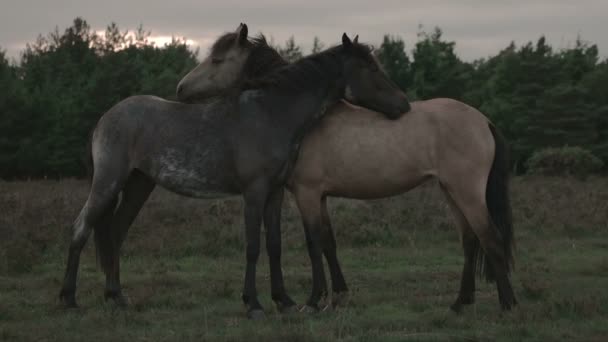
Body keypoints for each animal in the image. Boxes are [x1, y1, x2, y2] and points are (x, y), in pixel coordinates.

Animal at [58, 25, 408, 320]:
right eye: (371, 68)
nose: (403, 104)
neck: (270, 113)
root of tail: (106, 118)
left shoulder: (275, 193)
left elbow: (274, 245)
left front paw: (284, 301)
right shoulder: (253, 192)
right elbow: (253, 246)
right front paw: (253, 304)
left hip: (138, 185)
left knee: (114, 233)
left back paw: (117, 297)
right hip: (108, 182)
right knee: (80, 229)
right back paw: (68, 299)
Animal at [177, 24, 516, 312]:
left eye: (217, 60)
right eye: (372, 67)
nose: (181, 89)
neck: (299, 117)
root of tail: (483, 121)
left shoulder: (307, 193)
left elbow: (314, 243)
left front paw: (315, 300)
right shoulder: (318, 196)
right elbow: (329, 243)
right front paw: (338, 296)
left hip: (467, 191)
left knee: (491, 238)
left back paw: (508, 304)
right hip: (450, 190)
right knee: (471, 240)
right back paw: (460, 303)